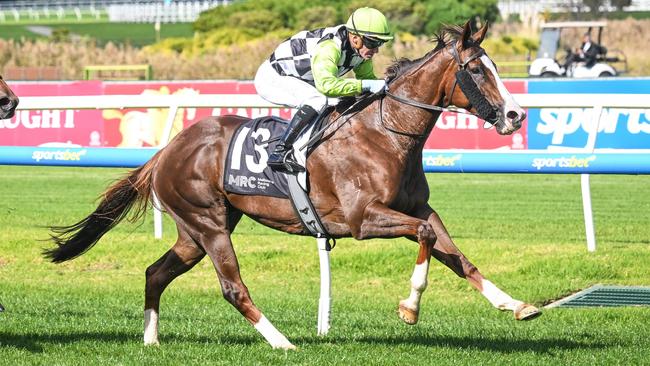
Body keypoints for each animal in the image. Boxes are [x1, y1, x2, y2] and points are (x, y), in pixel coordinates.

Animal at [41, 22, 536, 348]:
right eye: (477, 69)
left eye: (494, 65)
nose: (516, 115)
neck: (387, 132)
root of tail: (167, 149)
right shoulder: (363, 220)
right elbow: (427, 237)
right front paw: (410, 307)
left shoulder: (417, 208)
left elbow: (456, 255)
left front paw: (515, 304)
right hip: (208, 225)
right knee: (232, 287)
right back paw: (281, 342)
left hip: (196, 231)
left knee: (155, 272)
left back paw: (151, 340)